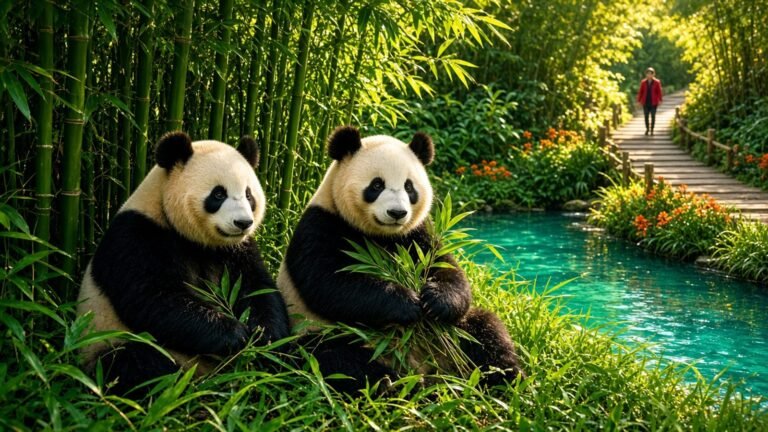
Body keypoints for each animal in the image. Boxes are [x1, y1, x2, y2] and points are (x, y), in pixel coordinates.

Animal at [77, 131, 290, 396]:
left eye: (249, 195)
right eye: (218, 194)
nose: (243, 223)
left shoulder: (237, 249)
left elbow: (258, 288)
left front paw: (266, 339)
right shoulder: (136, 237)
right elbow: (155, 299)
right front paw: (237, 335)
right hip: (105, 339)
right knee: (131, 362)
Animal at [277, 126, 524, 394]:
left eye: (409, 187)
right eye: (376, 185)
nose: (397, 213)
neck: (381, 235)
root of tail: (424, 366)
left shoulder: (417, 234)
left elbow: (447, 269)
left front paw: (435, 300)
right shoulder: (320, 225)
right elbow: (330, 284)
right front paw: (407, 303)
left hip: (458, 331)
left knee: (486, 330)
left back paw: (506, 379)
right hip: (322, 332)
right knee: (332, 357)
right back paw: (392, 384)